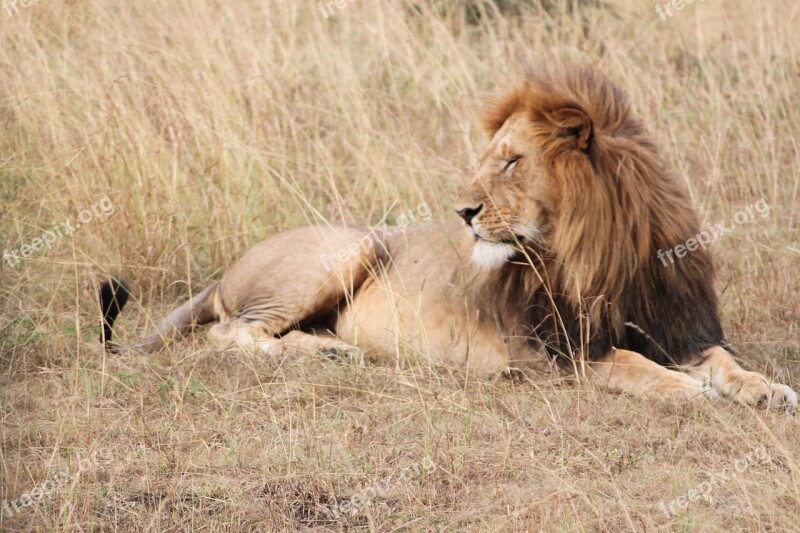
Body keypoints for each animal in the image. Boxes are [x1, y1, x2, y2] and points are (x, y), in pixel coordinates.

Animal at [101, 64, 800, 410]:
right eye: (492, 159)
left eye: (512, 162)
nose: (462, 211)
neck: (598, 256)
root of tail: (223, 273)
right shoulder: (551, 352)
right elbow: (632, 365)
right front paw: (685, 390)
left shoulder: (676, 326)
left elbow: (727, 363)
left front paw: (769, 389)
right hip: (349, 247)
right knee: (227, 334)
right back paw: (323, 354)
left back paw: (328, 350)